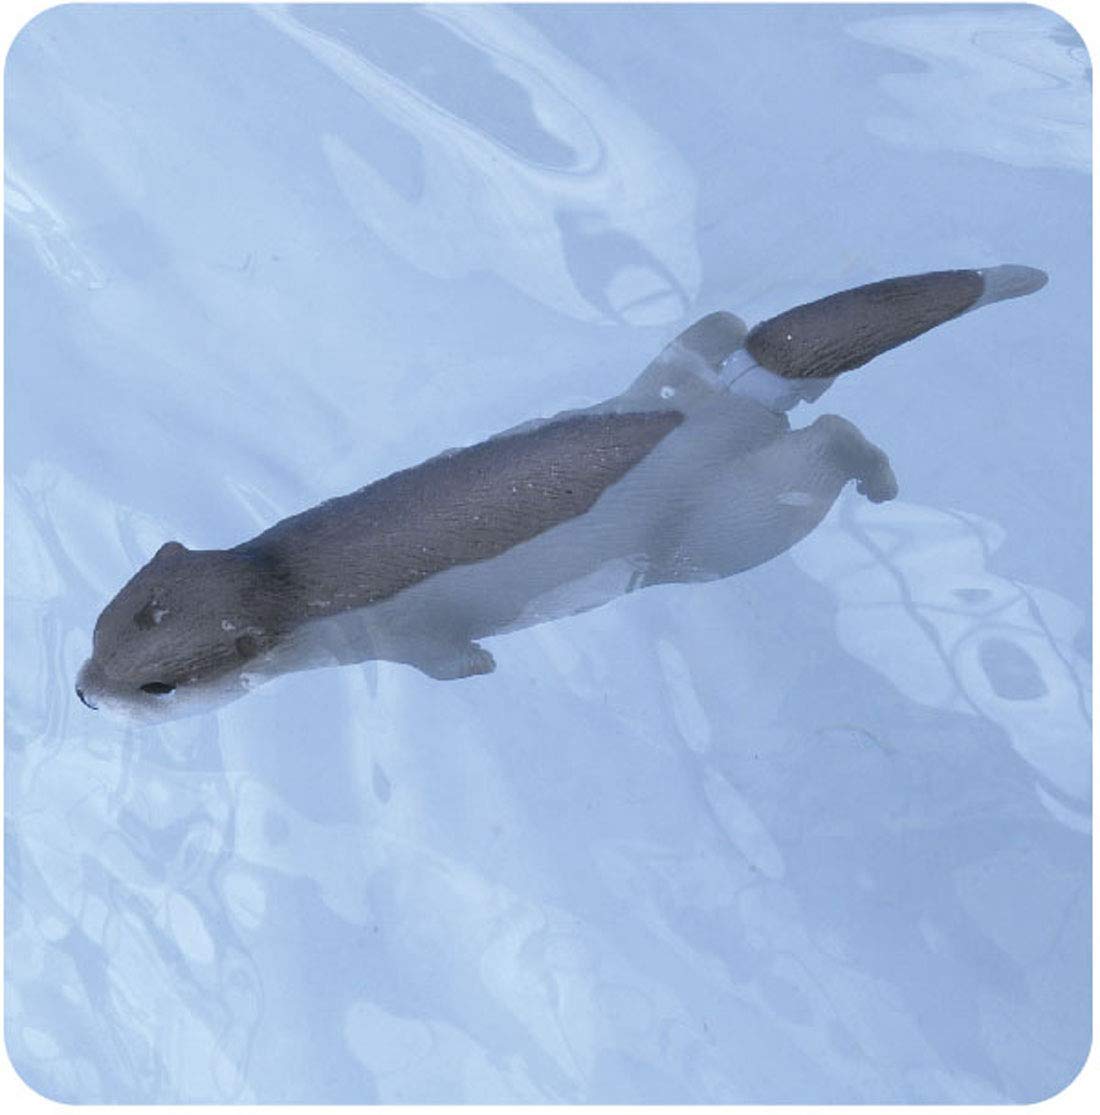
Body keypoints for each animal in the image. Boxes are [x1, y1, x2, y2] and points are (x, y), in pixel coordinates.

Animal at [76, 265, 1047, 723]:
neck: (296, 581)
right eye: (102, 630)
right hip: (683, 366)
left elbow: (451, 660)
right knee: (722, 329)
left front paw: (478, 670)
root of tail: (731, 399)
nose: (86, 693)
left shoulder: (405, 633)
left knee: (829, 446)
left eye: (158, 685)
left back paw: (881, 478)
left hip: (720, 530)